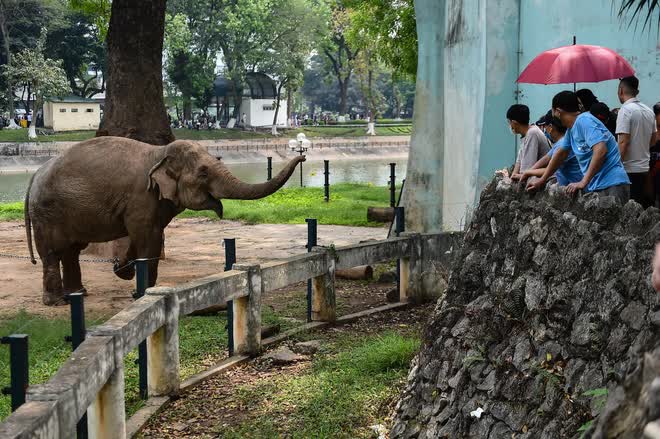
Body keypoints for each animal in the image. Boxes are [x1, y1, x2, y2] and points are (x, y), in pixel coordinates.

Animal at [24, 138, 306, 306]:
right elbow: (145, 237)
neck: (158, 152)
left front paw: (125, 272)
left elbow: (151, 236)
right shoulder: (141, 197)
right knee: (52, 252)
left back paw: (78, 295)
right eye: (203, 172)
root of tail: (35, 174)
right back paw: (57, 302)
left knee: (71, 251)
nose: (302, 156)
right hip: (47, 214)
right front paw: (139, 293)